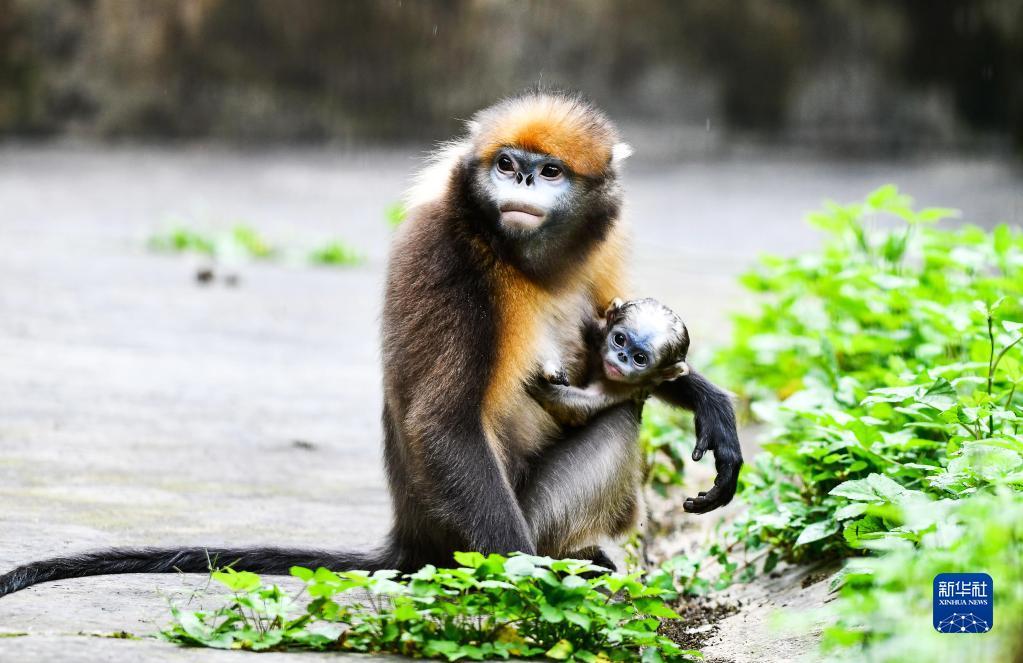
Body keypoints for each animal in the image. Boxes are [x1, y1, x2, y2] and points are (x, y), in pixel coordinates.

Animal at [531, 298, 691, 427]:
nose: (622, 356)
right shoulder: (598, 331)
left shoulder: (620, 387)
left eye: (639, 358)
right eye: (619, 339)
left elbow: (575, 405)